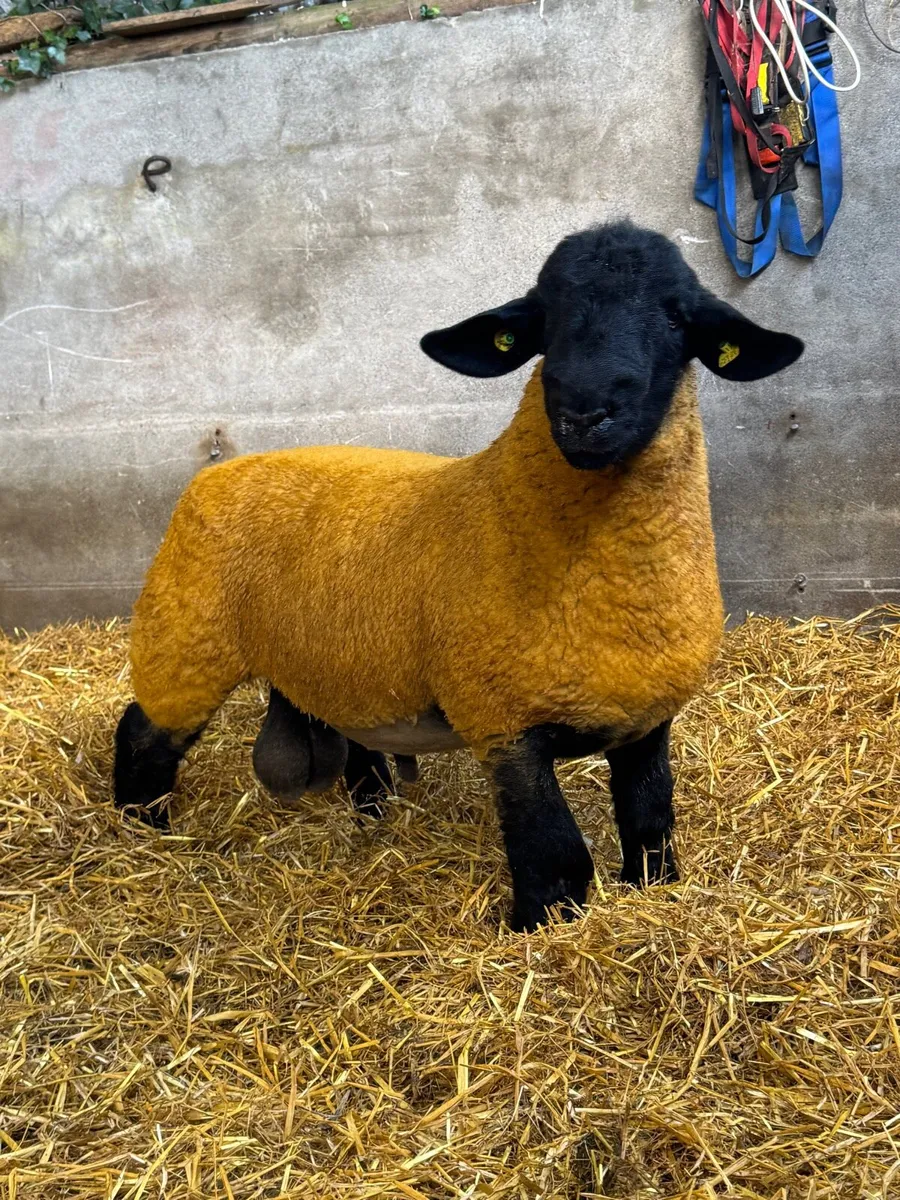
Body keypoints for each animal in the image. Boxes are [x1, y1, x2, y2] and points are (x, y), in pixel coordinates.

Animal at [113, 221, 803, 931]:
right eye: (545, 318)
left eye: (675, 317)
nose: (583, 414)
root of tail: (215, 473)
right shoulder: (503, 720)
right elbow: (555, 852)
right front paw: (532, 927)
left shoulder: (644, 719)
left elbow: (650, 822)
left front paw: (651, 894)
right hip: (186, 636)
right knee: (142, 733)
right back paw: (145, 829)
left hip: (326, 660)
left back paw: (372, 817)